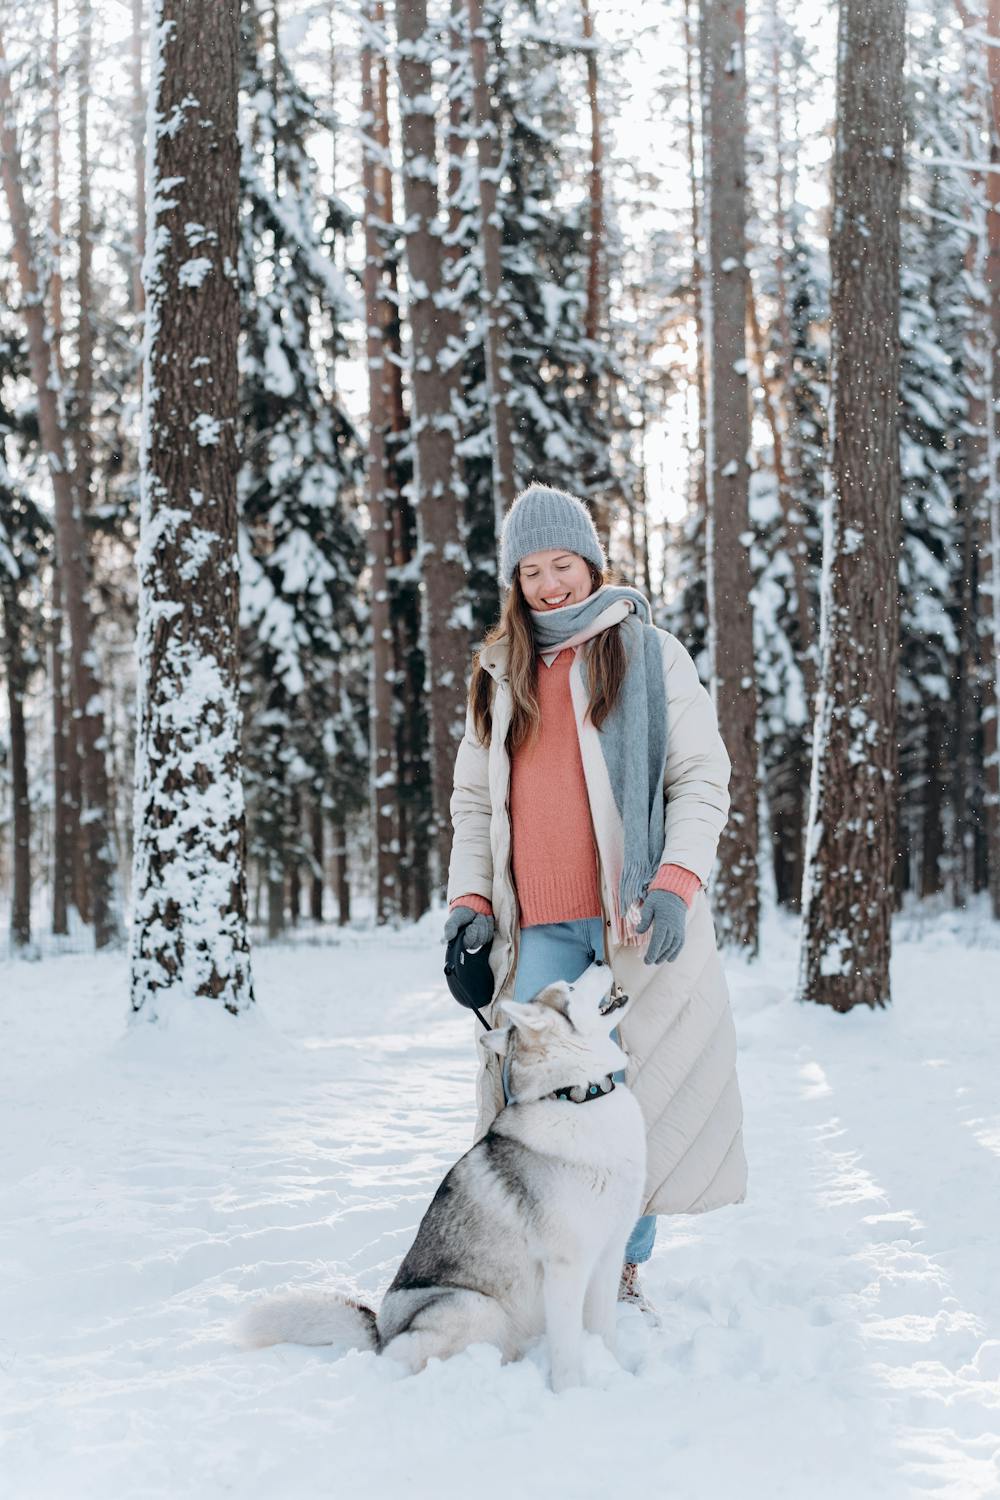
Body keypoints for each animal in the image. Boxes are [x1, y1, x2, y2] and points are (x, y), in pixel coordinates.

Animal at [238, 960, 644, 1392]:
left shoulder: (607, 1254)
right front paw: (571, 1393)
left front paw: (616, 1374)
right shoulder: (565, 1267)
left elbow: (604, 1331)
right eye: (569, 987)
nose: (599, 960)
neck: (576, 1095)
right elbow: (567, 1350)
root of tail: (381, 1335)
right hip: (477, 1306)